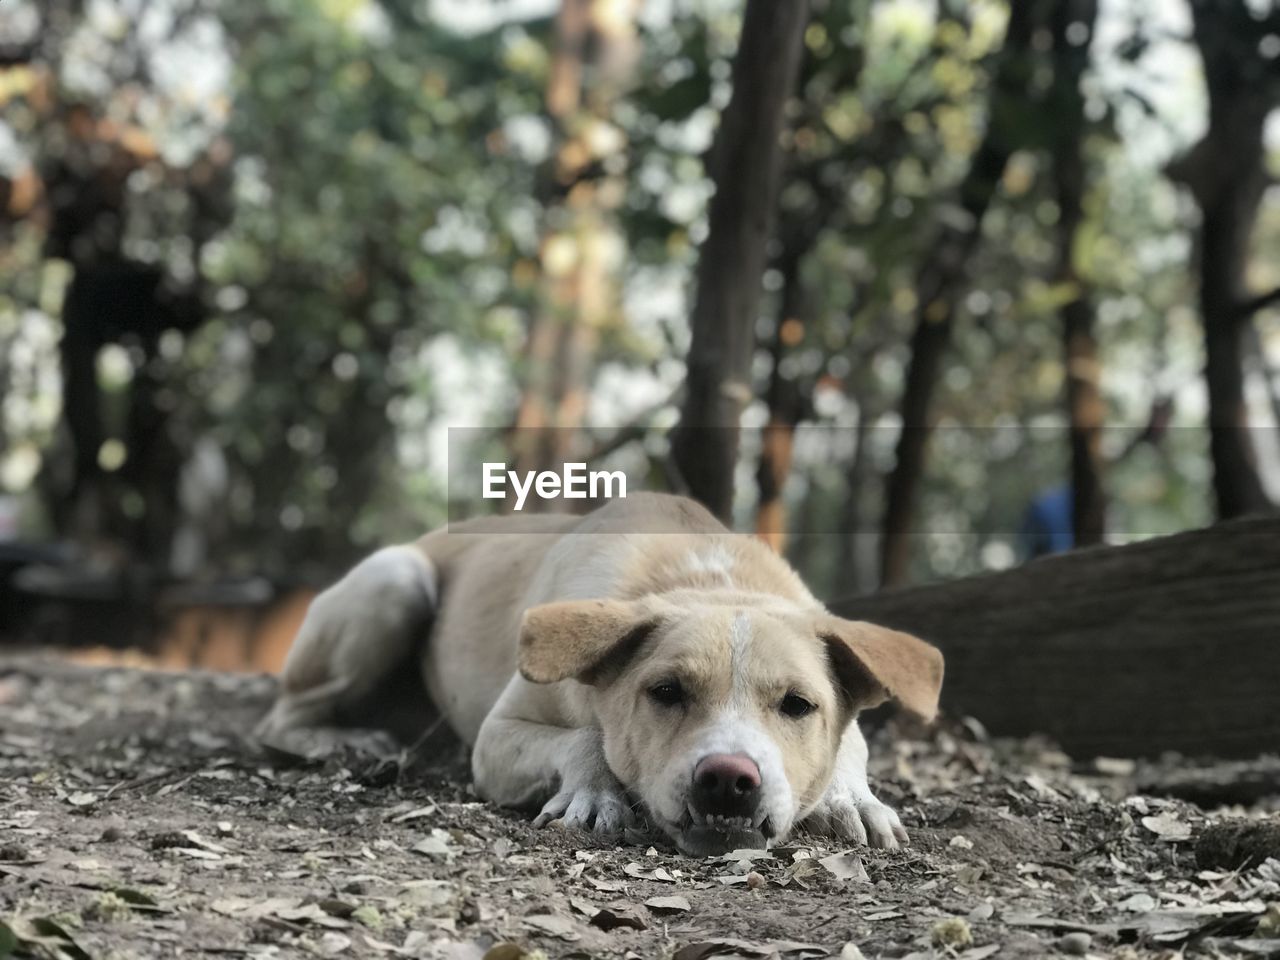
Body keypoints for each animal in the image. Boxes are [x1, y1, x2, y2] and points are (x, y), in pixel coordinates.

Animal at [257, 496, 942, 855]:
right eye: (665, 693)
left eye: (798, 705)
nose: (728, 780)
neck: (706, 576)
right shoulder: (497, 735)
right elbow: (586, 737)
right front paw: (595, 792)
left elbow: (852, 745)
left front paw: (851, 798)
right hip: (396, 582)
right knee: (281, 716)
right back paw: (342, 741)